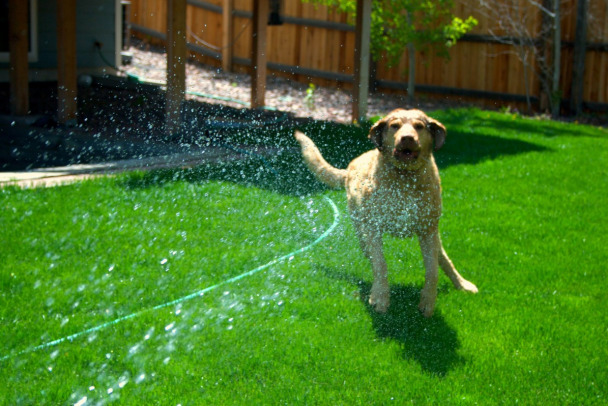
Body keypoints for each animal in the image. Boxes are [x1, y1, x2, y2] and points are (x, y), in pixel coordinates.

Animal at [294, 108, 480, 318]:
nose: (407, 138)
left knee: (443, 259)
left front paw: (428, 301)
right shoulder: (373, 229)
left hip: (433, 234)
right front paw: (380, 297)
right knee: (368, 250)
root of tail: (349, 168)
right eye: (394, 126)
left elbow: (432, 271)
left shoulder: (427, 230)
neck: (404, 179)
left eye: (419, 126)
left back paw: (462, 283)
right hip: (359, 222)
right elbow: (380, 264)